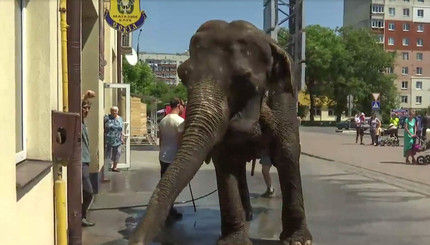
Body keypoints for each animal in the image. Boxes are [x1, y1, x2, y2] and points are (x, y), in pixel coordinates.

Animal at [127, 20, 312, 245]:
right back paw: (247, 215)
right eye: (182, 75)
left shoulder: (284, 101)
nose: (134, 240)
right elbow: (225, 161)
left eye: (244, 81)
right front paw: (233, 242)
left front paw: (298, 240)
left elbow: (287, 154)